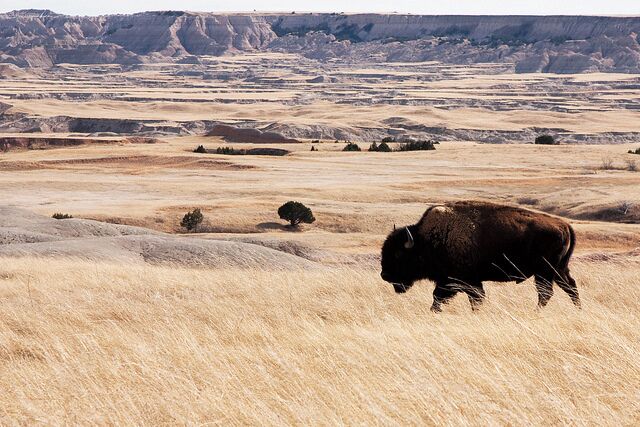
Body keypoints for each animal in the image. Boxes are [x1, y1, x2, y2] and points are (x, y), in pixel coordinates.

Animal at [380, 201, 579, 312]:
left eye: (398, 254)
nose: (384, 275)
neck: (427, 240)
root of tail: (564, 225)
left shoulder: (463, 281)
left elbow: (448, 298)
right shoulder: (457, 281)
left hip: (545, 271)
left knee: (546, 293)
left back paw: (535, 312)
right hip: (559, 270)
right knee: (570, 287)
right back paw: (578, 309)